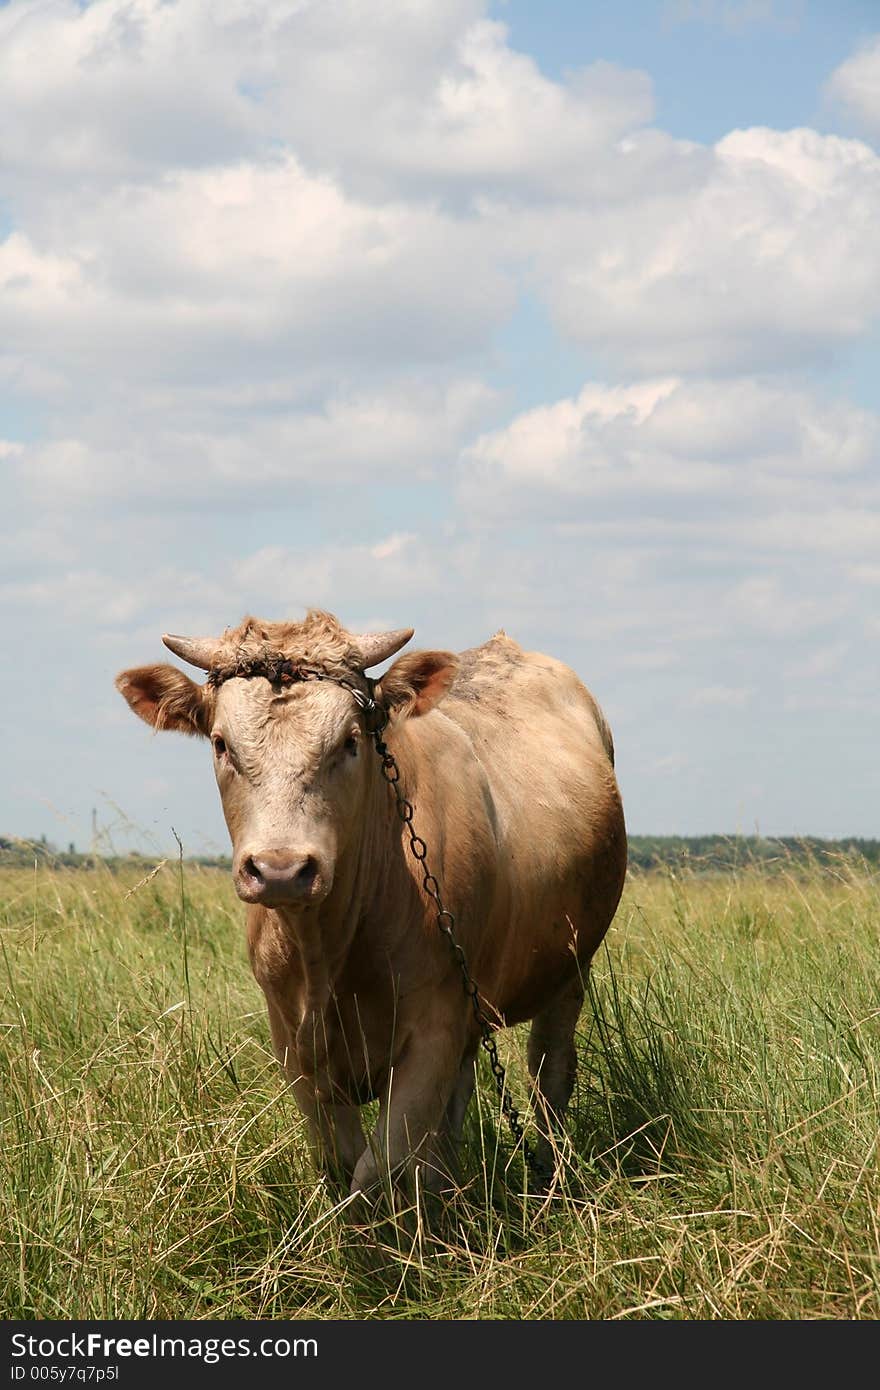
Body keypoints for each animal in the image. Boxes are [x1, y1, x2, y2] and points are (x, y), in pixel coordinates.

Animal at [116, 614, 625, 1200]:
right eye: (221, 744)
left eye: (350, 740)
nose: (281, 869)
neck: (326, 953)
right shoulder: (293, 1044)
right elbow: (343, 1162)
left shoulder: (432, 1032)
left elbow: (381, 1170)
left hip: (571, 966)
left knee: (550, 1070)